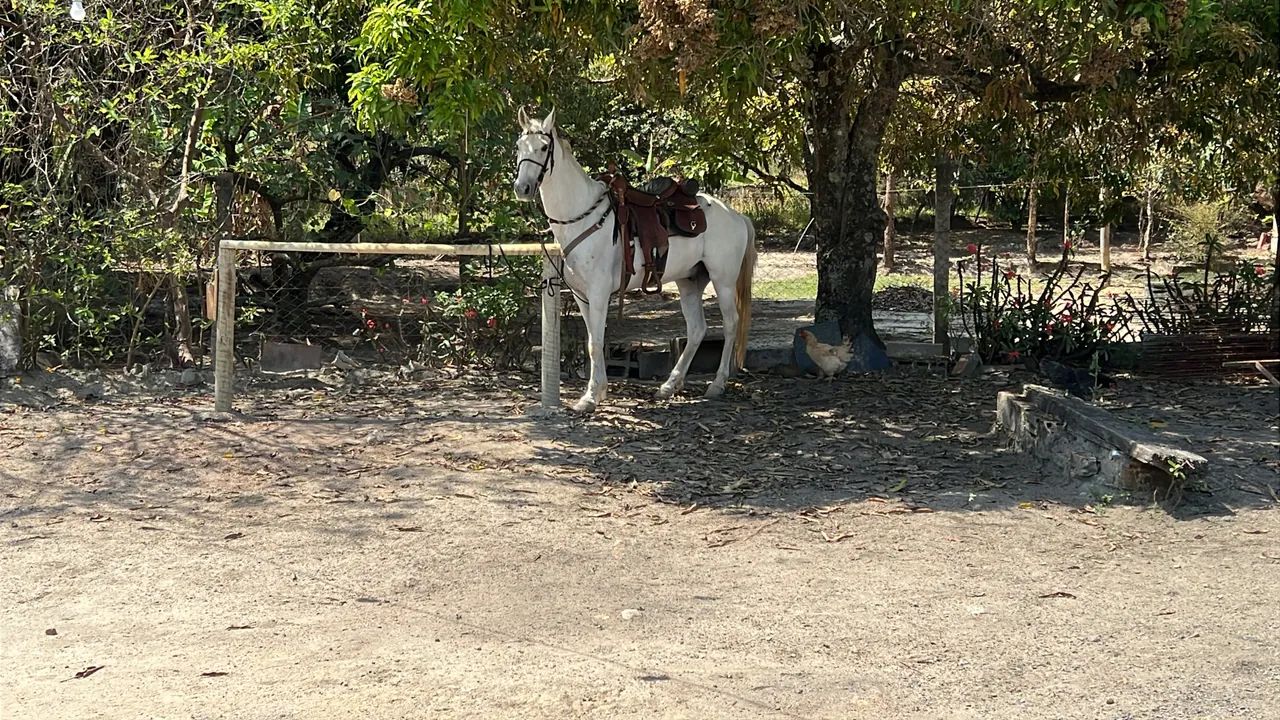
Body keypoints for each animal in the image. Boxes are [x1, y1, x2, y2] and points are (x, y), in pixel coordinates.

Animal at [512, 108, 756, 413]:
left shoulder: (599, 293)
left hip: (722, 281)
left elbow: (595, 343)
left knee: (731, 324)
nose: (522, 188)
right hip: (689, 281)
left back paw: (717, 384)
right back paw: (669, 386)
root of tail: (736, 215)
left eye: (544, 147)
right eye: (519, 146)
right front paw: (598, 391)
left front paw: (589, 398)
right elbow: (593, 340)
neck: (583, 216)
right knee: (697, 329)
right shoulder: (582, 295)